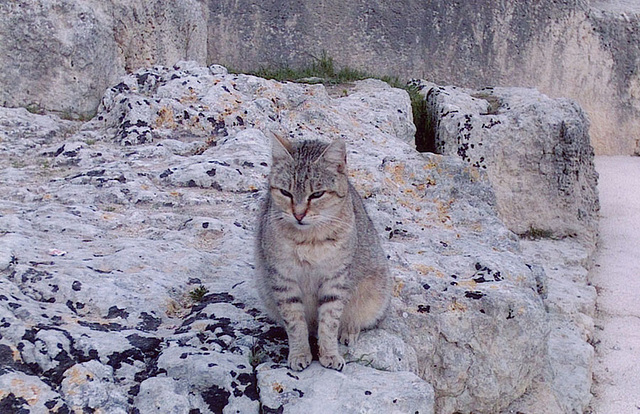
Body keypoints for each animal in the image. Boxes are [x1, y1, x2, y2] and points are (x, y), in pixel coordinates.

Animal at [255, 133, 390, 372]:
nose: (298, 215)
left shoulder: (335, 279)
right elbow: (295, 323)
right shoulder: (283, 280)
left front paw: (329, 354)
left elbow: (329, 322)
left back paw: (349, 331)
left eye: (317, 194)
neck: (308, 240)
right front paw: (299, 353)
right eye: (285, 192)